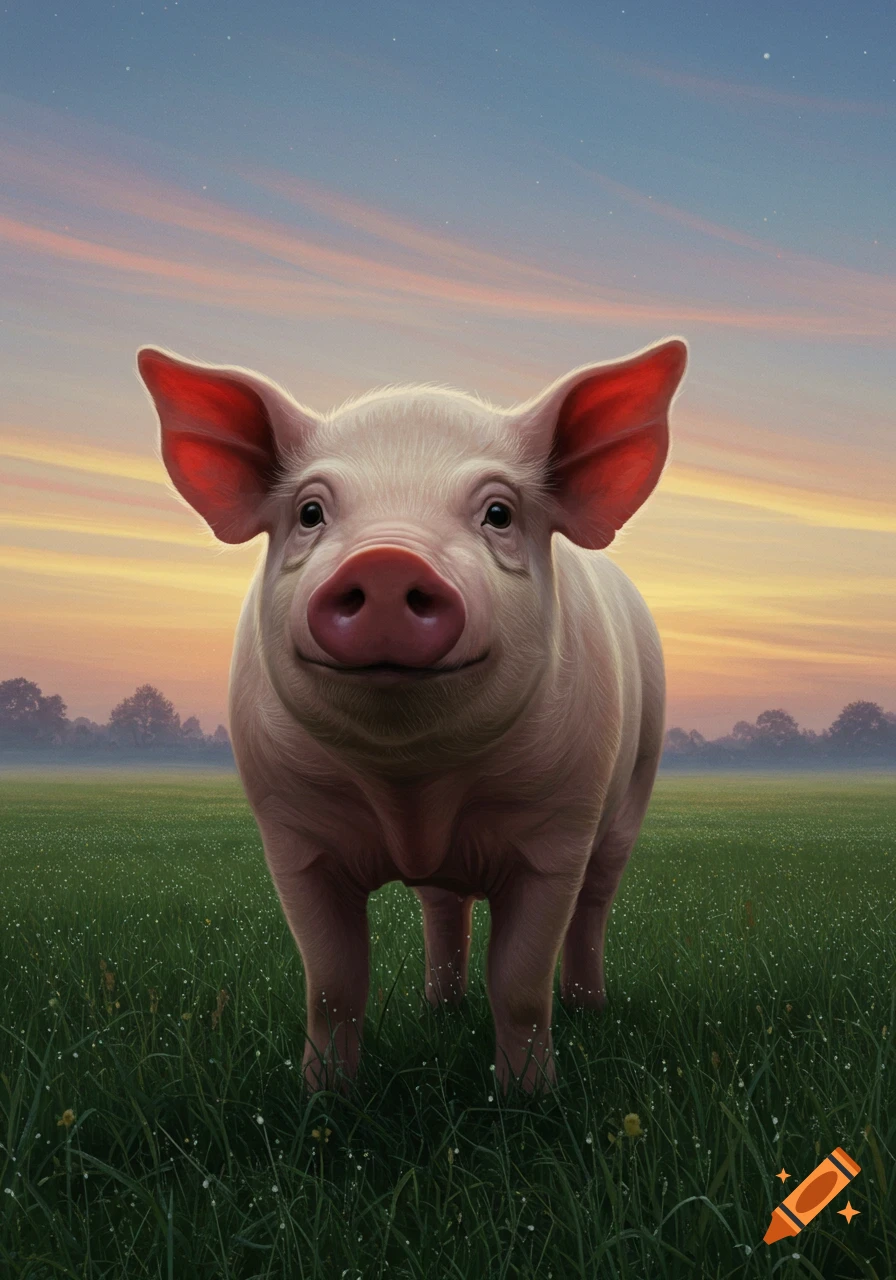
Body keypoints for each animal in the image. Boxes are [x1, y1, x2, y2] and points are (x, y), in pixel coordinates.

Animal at [137, 335, 688, 1094]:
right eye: (310, 513)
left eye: (499, 513)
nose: (388, 560)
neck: (413, 789)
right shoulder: (290, 833)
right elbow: (332, 983)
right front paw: (325, 1099)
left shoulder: (558, 829)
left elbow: (520, 983)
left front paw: (527, 1100)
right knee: (443, 905)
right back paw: (439, 1010)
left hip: (635, 784)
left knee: (594, 905)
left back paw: (587, 1009)